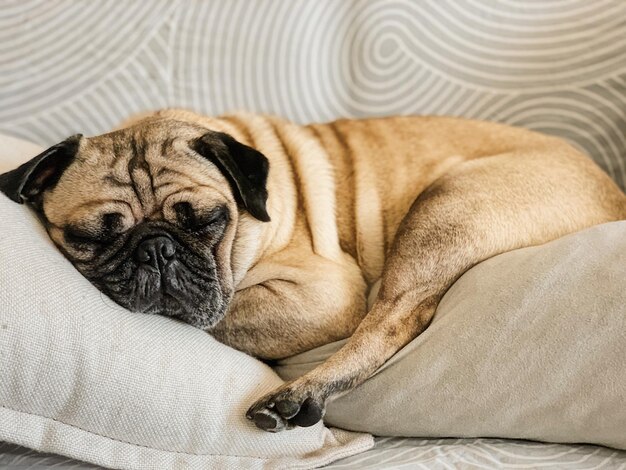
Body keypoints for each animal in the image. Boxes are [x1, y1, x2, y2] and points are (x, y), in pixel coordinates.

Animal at [1, 108, 624, 432]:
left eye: (208, 221)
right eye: (90, 237)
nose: (155, 250)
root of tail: (612, 194)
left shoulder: (324, 293)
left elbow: (227, 316)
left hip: (448, 203)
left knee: (394, 318)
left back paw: (298, 395)